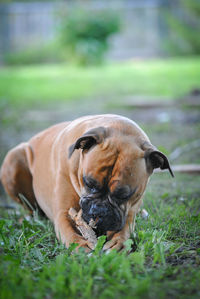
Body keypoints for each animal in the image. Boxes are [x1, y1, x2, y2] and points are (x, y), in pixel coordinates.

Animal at [0, 114, 173, 251]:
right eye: (89, 184)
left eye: (124, 195)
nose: (98, 211)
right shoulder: (63, 214)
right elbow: (71, 234)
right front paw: (82, 246)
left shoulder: (128, 211)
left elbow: (125, 227)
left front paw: (119, 242)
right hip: (13, 159)